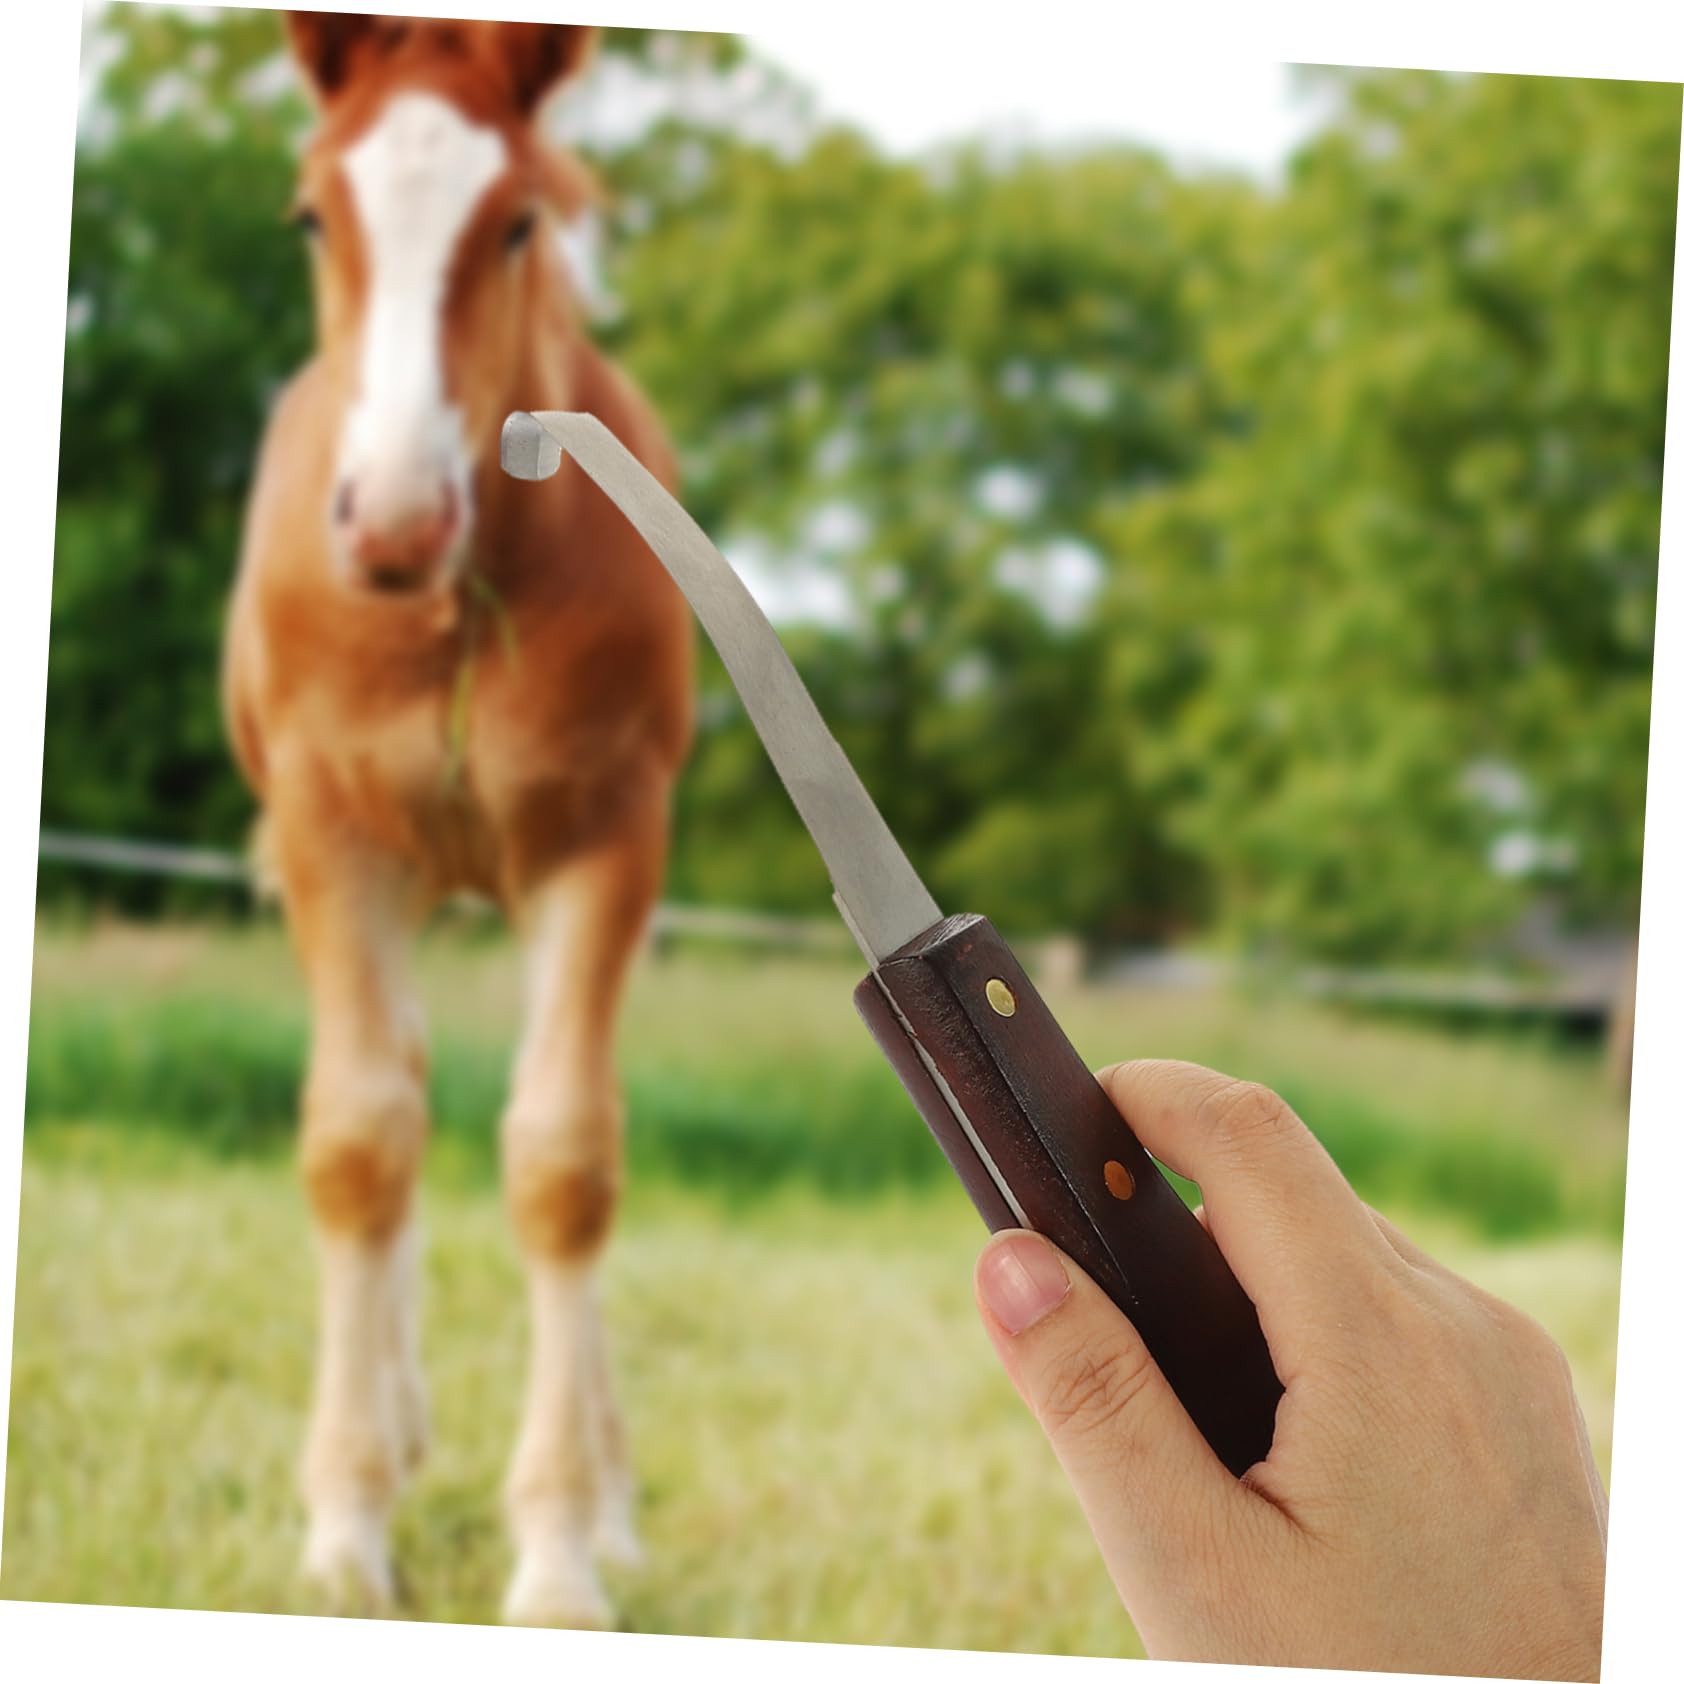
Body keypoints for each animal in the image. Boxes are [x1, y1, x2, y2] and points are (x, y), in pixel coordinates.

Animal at [221, 13, 692, 1626]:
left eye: (522, 223)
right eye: (313, 214)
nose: (392, 519)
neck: (461, 602)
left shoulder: (606, 843)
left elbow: (566, 1161)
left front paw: (559, 1552)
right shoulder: (330, 834)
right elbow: (360, 1139)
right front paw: (344, 1528)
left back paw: (609, 1497)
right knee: (401, 1086)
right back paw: (402, 1422)